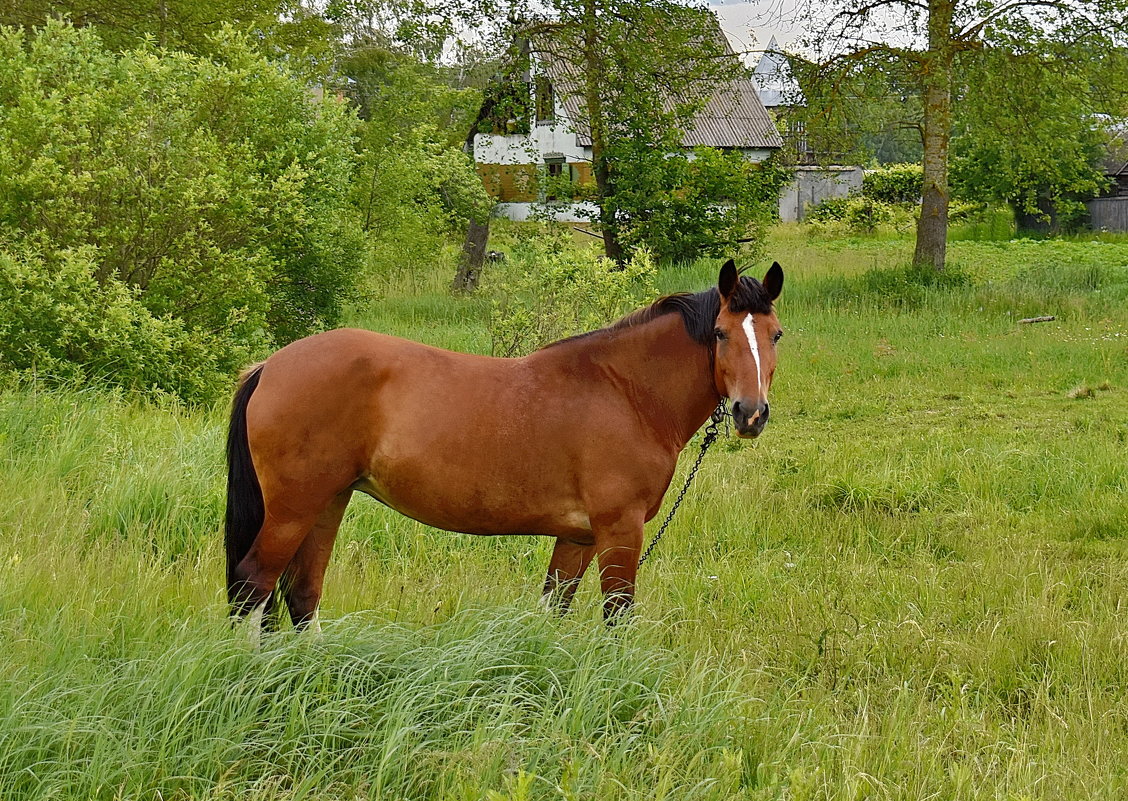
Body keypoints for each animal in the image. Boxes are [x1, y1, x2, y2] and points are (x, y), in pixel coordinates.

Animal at [224, 260, 780, 631]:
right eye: (720, 333)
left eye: (776, 334)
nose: (750, 414)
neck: (626, 392)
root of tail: (270, 366)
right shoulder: (619, 530)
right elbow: (617, 617)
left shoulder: (578, 538)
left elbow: (554, 609)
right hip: (294, 509)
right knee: (253, 586)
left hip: (328, 502)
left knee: (300, 594)